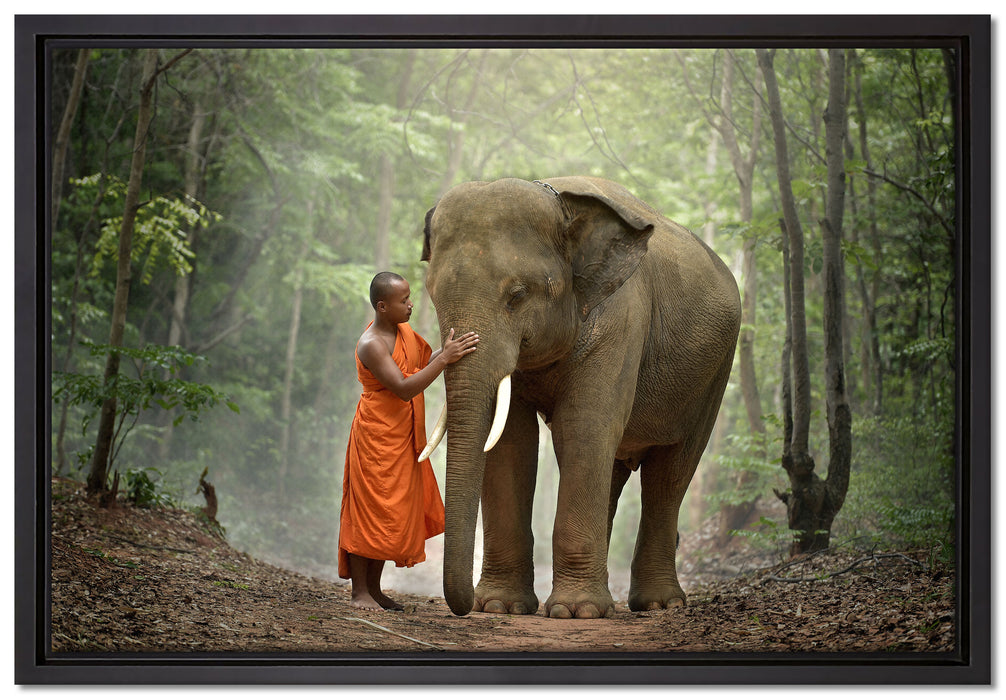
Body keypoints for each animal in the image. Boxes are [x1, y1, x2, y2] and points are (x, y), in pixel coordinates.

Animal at [419, 176, 741, 619]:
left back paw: (658, 604)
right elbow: (513, 440)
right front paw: (502, 606)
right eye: (432, 295)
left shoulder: (621, 319)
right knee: (616, 470)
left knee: (671, 472)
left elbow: (584, 427)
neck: (561, 202)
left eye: (517, 296)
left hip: (715, 373)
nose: (465, 607)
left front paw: (576, 612)